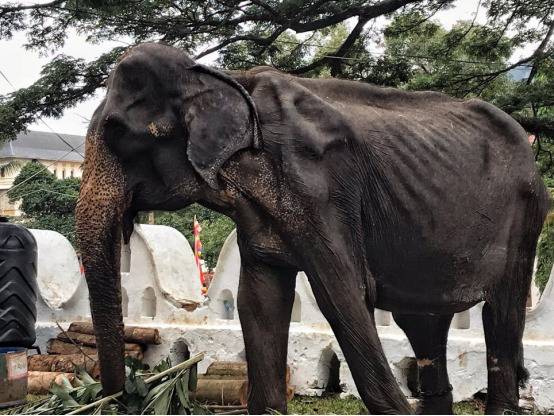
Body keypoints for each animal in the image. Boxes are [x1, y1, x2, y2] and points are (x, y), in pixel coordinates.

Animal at [74, 44, 548, 414]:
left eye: (117, 133)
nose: (117, 397)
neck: (225, 78)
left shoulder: (322, 187)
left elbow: (343, 295)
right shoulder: (258, 212)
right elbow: (258, 302)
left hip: (526, 216)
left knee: (501, 313)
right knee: (423, 324)